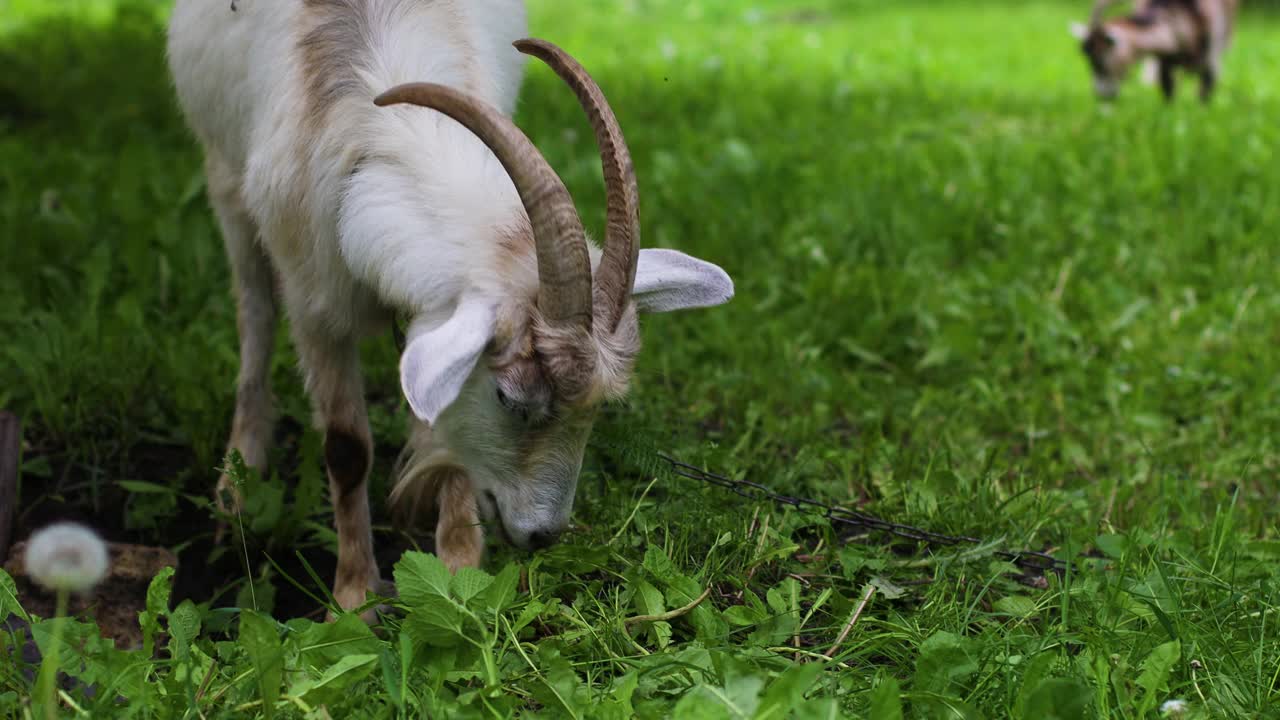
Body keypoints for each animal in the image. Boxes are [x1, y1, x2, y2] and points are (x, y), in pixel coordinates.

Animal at [165, 1, 737, 617]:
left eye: (598, 409)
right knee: (254, 309)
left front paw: (462, 575)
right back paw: (237, 482)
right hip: (223, 174)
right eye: (510, 398)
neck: (381, 129)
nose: (542, 535)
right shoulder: (314, 298)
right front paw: (354, 596)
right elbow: (346, 448)